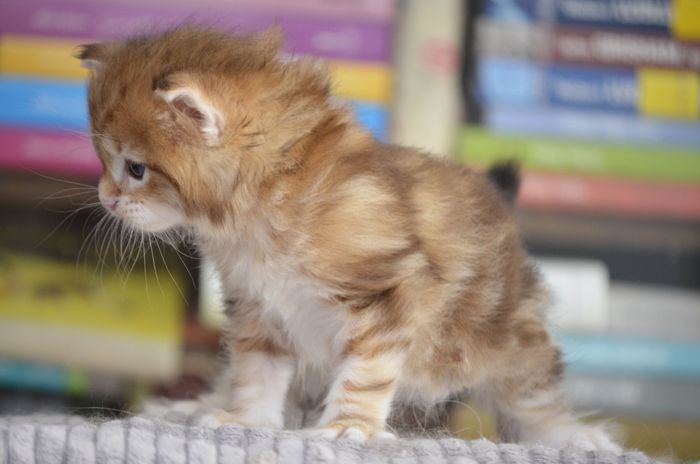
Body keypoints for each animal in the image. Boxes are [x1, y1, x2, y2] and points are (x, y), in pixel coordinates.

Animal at [79, 25, 619, 451]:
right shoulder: (258, 308)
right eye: (105, 162)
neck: (260, 218)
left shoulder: (389, 292)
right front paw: (246, 419)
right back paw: (190, 405)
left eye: (135, 169)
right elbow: (255, 371)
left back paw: (574, 436)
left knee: (533, 393)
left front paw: (350, 427)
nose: (105, 197)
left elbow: (366, 372)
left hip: (503, 334)